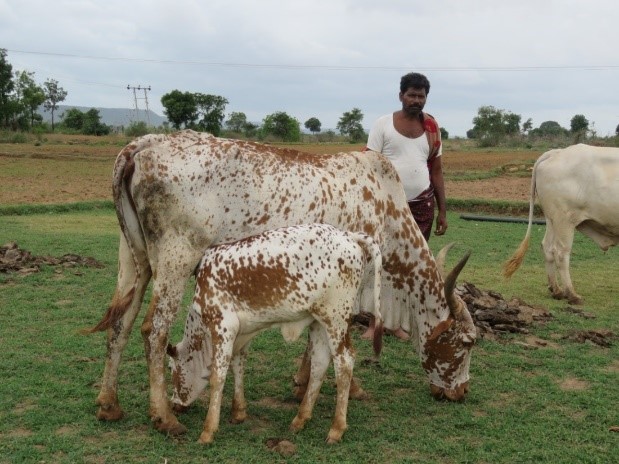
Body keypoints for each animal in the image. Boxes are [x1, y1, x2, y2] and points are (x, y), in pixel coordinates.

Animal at [167, 223, 386, 444]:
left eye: (171, 368)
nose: (174, 404)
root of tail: (348, 235)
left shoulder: (223, 326)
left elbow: (217, 377)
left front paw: (208, 430)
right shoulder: (242, 333)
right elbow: (238, 366)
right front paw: (238, 412)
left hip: (336, 319)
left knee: (344, 362)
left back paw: (336, 428)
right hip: (318, 322)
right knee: (319, 364)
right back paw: (300, 418)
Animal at [504, 145, 619, 304]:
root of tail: (557, 152)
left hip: (552, 219)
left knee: (547, 247)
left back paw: (556, 290)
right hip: (565, 220)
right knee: (561, 253)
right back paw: (571, 294)